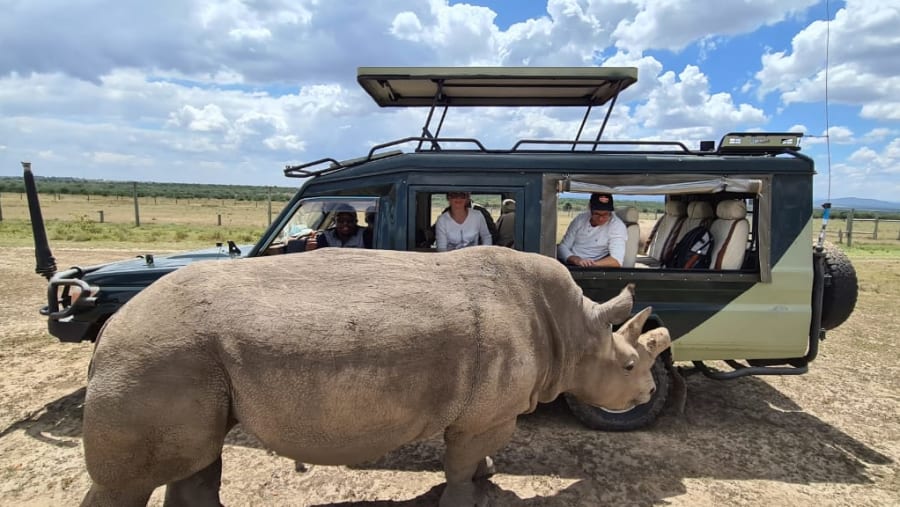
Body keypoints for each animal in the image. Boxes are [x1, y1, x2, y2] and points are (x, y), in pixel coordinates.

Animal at [80, 246, 671, 507]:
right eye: (628, 366)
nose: (648, 390)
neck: (573, 331)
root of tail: (109, 329)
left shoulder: (482, 412)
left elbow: (475, 457)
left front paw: (487, 476)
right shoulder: (483, 414)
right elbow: (459, 464)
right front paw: (466, 497)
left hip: (183, 361)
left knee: (199, 461)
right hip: (157, 356)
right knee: (133, 481)